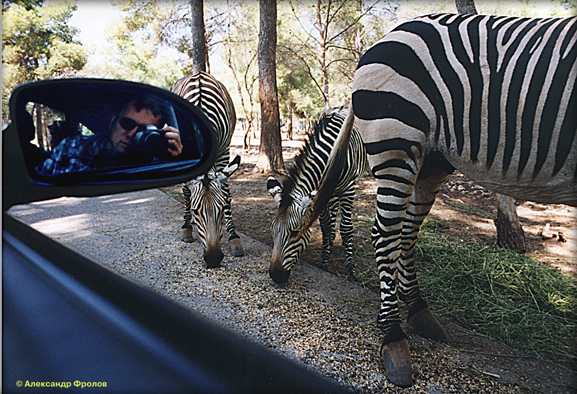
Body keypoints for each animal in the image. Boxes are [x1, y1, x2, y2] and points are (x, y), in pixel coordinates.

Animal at [171, 71, 243, 268]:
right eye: (196, 210)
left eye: (222, 208)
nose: (213, 259)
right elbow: (187, 192)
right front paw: (187, 227)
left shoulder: (224, 150)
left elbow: (226, 190)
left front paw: (233, 237)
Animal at [266, 104, 366, 284]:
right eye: (272, 229)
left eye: (294, 233)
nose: (275, 276)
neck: (332, 153)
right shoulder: (322, 190)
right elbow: (325, 225)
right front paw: (324, 260)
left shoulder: (348, 188)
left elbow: (346, 227)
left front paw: (351, 270)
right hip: (330, 193)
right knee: (331, 216)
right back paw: (331, 241)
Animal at [304, 13, 572, 386]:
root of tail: (387, 36)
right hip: (396, 140)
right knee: (386, 234)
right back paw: (395, 337)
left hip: (427, 157)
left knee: (403, 232)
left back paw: (416, 315)